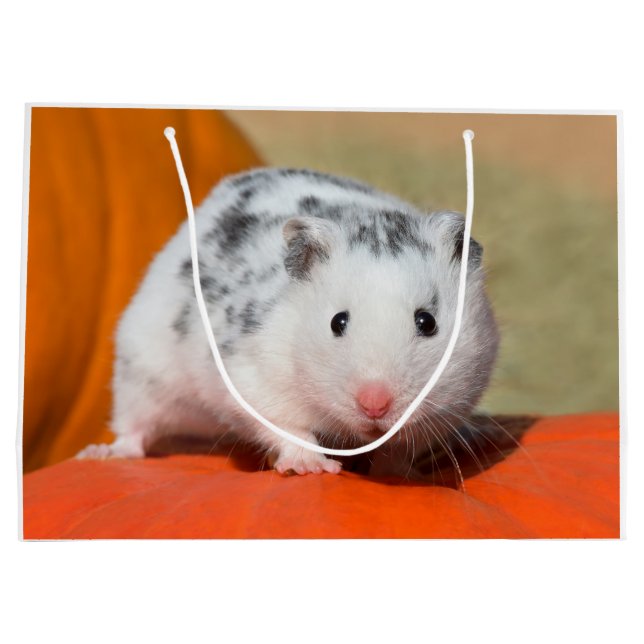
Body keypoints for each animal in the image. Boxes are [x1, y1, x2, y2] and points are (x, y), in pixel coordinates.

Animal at [77, 167, 499, 478]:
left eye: (427, 322)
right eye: (337, 322)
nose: (375, 406)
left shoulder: (457, 398)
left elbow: (400, 451)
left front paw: (396, 474)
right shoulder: (256, 379)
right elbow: (290, 428)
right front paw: (313, 468)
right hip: (141, 370)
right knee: (134, 428)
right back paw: (101, 454)